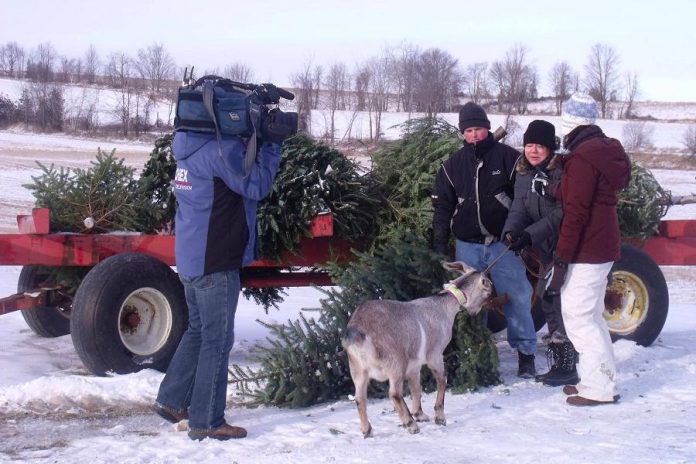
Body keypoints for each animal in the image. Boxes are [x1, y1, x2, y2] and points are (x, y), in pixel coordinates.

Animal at [342, 262, 492, 436]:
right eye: (488, 291)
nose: (475, 313)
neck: (443, 305)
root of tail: (358, 332)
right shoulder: (435, 354)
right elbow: (442, 380)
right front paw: (439, 418)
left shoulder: (414, 364)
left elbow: (416, 388)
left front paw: (419, 414)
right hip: (395, 363)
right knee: (394, 393)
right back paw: (410, 424)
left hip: (357, 369)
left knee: (360, 398)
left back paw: (367, 430)